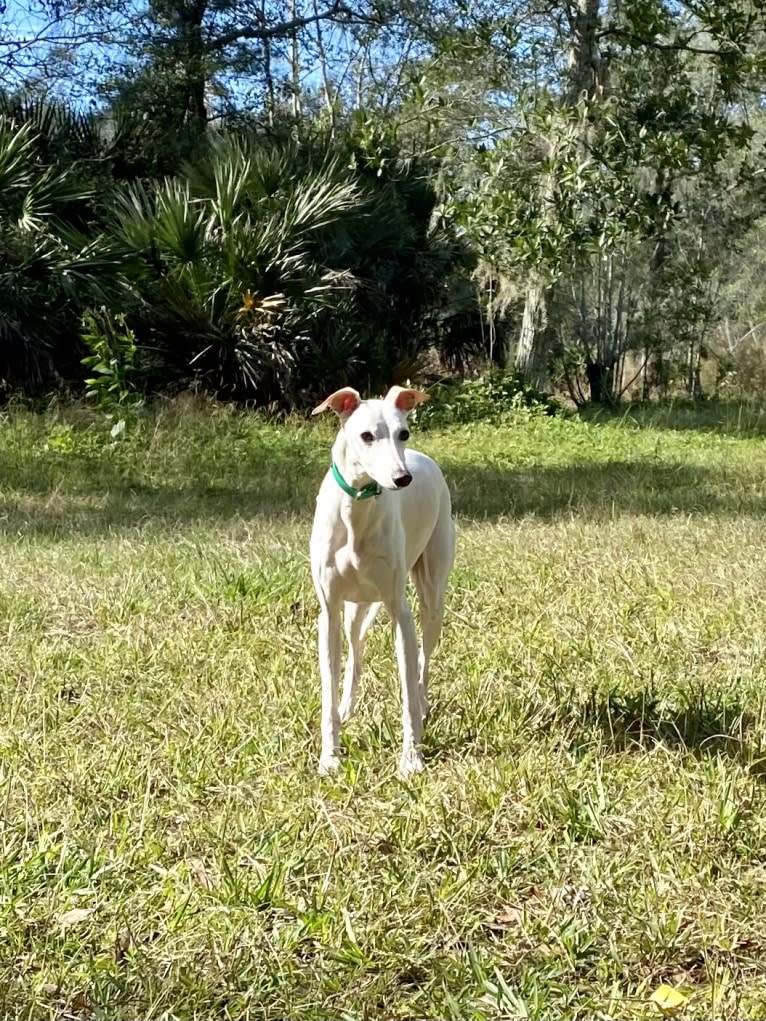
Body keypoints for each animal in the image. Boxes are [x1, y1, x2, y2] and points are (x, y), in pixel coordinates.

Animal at [312, 383, 455, 771]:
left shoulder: (399, 613)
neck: (356, 514)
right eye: (366, 436)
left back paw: (424, 702)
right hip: (355, 609)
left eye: (403, 433)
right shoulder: (329, 612)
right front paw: (330, 758)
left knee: (423, 663)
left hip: (431, 596)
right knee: (355, 652)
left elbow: (407, 691)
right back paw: (349, 707)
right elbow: (328, 695)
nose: (402, 478)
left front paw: (411, 759)